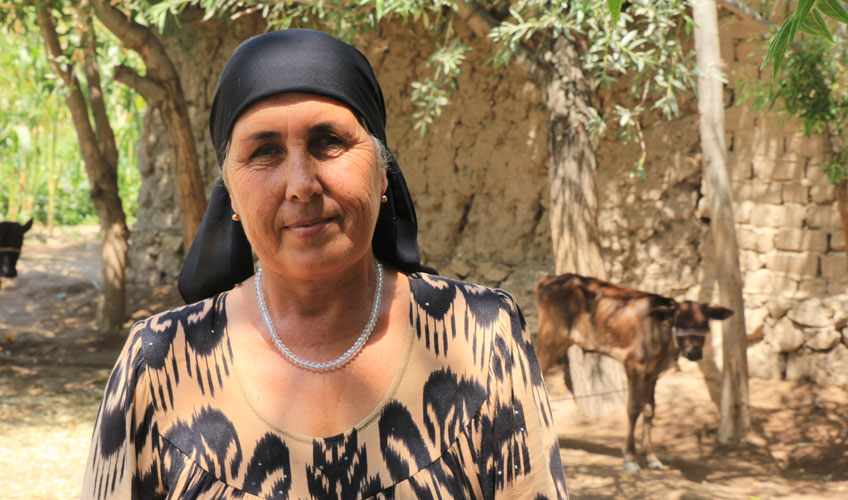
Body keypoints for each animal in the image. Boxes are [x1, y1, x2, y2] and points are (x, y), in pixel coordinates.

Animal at [536, 274, 728, 472]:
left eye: (705, 323)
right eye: (679, 320)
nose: (693, 352)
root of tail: (548, 279)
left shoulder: (654, 373)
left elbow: (650, 410)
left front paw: (652, 457)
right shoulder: (633, 364)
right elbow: (633, 408)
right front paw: (630, 457)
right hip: (552, 337)